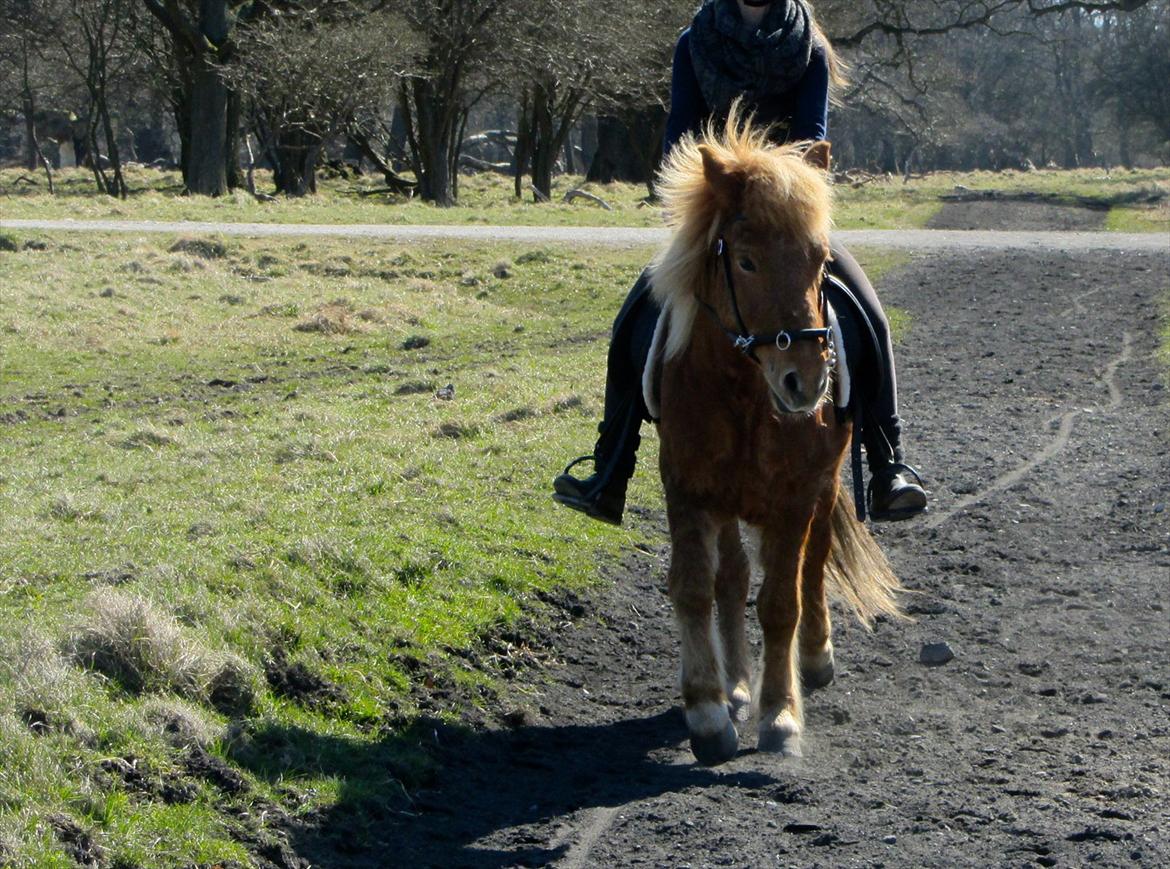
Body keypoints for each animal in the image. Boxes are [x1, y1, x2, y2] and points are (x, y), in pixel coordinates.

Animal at [645, 110, 898, 767]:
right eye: (747, 261)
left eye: (820, 260)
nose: (805, 380)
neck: (743, 392)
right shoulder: (688, 488)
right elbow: (694, 589)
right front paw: (708, 711)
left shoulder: (794, 497)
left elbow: (782, 600)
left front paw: (780, 715)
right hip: (729, 502)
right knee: (731, 580)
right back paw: (736, 683)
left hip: (821, 488)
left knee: (811, 568)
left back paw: (813, 660)